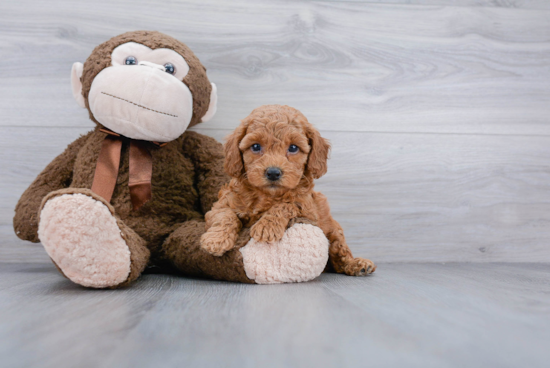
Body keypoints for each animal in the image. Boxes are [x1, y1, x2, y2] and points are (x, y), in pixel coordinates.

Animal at [201, 104, 378, 276]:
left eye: (293, 148)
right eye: (256, 146)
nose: (273, 172)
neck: (267, 195)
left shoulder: (308, 210)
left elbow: (287, 205)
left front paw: (267, 227)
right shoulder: (220, 205)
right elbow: (226, 215)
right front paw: (215, 240)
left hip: (334, 229)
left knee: (340, 254)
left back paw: (358, 264)